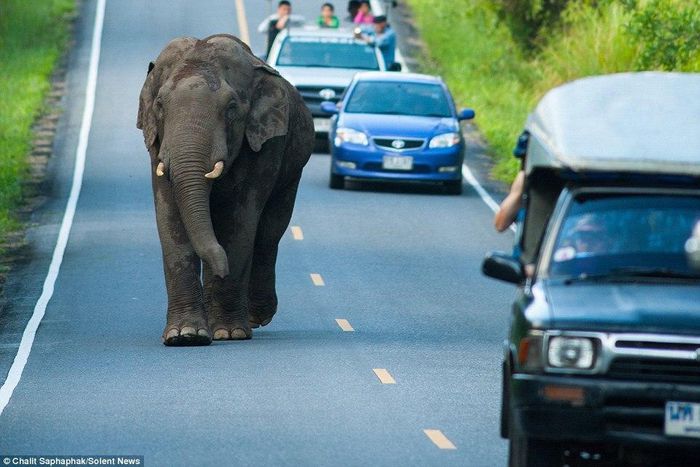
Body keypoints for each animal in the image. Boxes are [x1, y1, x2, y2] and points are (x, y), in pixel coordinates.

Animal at [136, 34, 314, 346]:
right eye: (159, 105)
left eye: (231, 108)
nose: (222, 269)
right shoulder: (156, 144)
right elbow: (170, 219)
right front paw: (185, 336)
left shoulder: (264, 144)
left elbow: (239, 221)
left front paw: (229, 333)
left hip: (293, 169)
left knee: (268, 233)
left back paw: (253, 317)